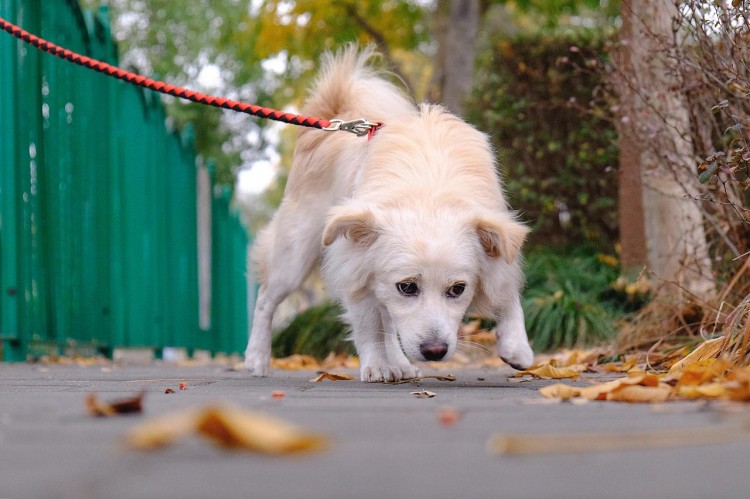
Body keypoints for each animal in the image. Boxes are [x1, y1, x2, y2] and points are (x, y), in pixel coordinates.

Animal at [247, 47, 536, 382]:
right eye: (407, 287)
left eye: (458, 289)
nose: (435, 352)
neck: (428, 195)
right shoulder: (355, 266)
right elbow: (368, 327)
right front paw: (375, 366)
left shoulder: (501, 242)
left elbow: (507, 290)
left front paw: (517, 346)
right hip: (295, 254)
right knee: (266, 299)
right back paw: (256, 359)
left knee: (388, 320)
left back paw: (400, 364)